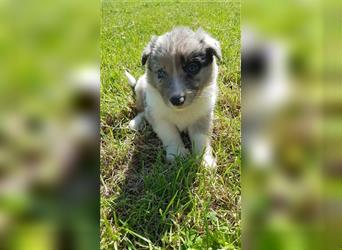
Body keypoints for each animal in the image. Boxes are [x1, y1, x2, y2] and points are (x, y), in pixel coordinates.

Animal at [126, 26, 222, 168]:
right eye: (161, 72)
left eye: (192, 67)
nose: (177, 100)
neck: (181, 111)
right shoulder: (160, 118)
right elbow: (171, 135)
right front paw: (178, 155)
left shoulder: (203, 117)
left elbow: (201, 139)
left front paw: (205, 161)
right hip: (141, 89)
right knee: (143, 111)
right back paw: (136, 122)